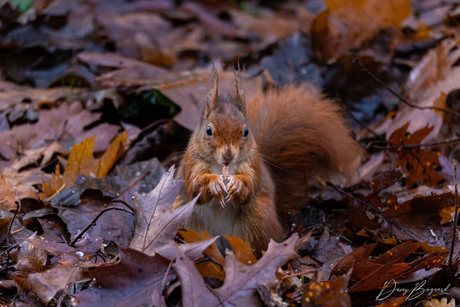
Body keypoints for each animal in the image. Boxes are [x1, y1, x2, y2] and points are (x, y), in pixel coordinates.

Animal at [172, 70, 360, 258]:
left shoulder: (252, 164)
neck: (224, 167)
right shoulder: (193, 161)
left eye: (246, 131)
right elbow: (195, 184)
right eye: (208, 130)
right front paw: (214, 183)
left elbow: (249, 185)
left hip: (257, 219)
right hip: (186, 220)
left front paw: (238, 184)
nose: (228, 155)